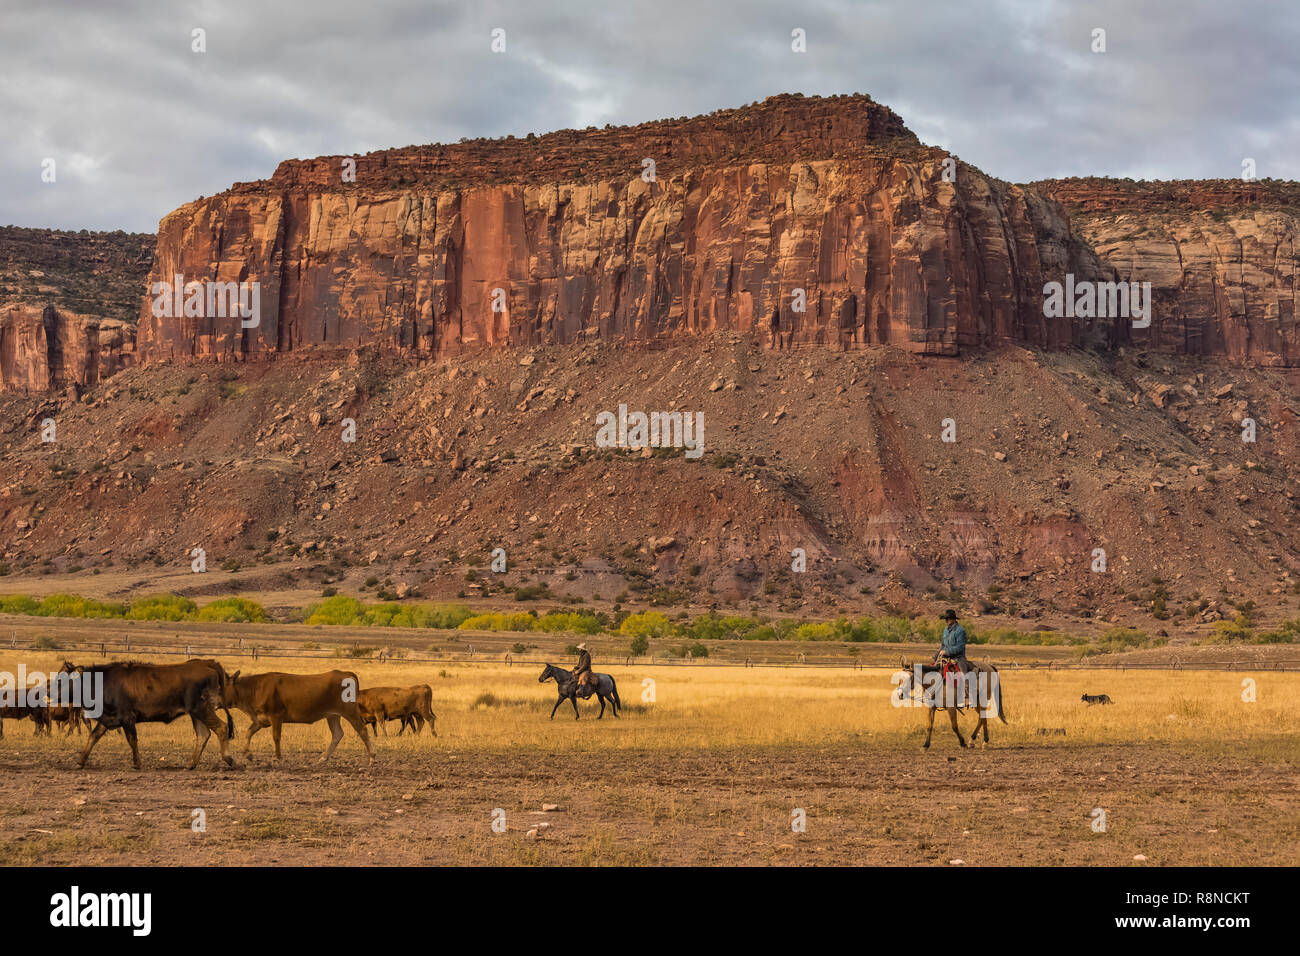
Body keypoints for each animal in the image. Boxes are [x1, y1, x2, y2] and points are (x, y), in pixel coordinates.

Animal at [65, 660, 236, 775]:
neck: (103, 681)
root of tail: (206, 663)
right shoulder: (108, 718)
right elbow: (93, 737)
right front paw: (80, 761)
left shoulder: (127, 718)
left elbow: (132, 739)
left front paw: (137, 763)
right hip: (196, 713)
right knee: (203, 735)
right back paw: (190, 764)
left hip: (202, 710)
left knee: (221, 728)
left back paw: (229, 759)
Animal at [223, 671, 374, 770]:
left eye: (221, 687)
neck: (255, 688)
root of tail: (345, 673)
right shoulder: (260, 720)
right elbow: (248, 733)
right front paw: (247, 754)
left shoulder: (276, 716)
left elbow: (276, 737)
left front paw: (277, 757)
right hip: (332, 715)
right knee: (337, 734)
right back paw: (323, 758)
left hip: (350, 712)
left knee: (363, 731)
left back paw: (372, 758)